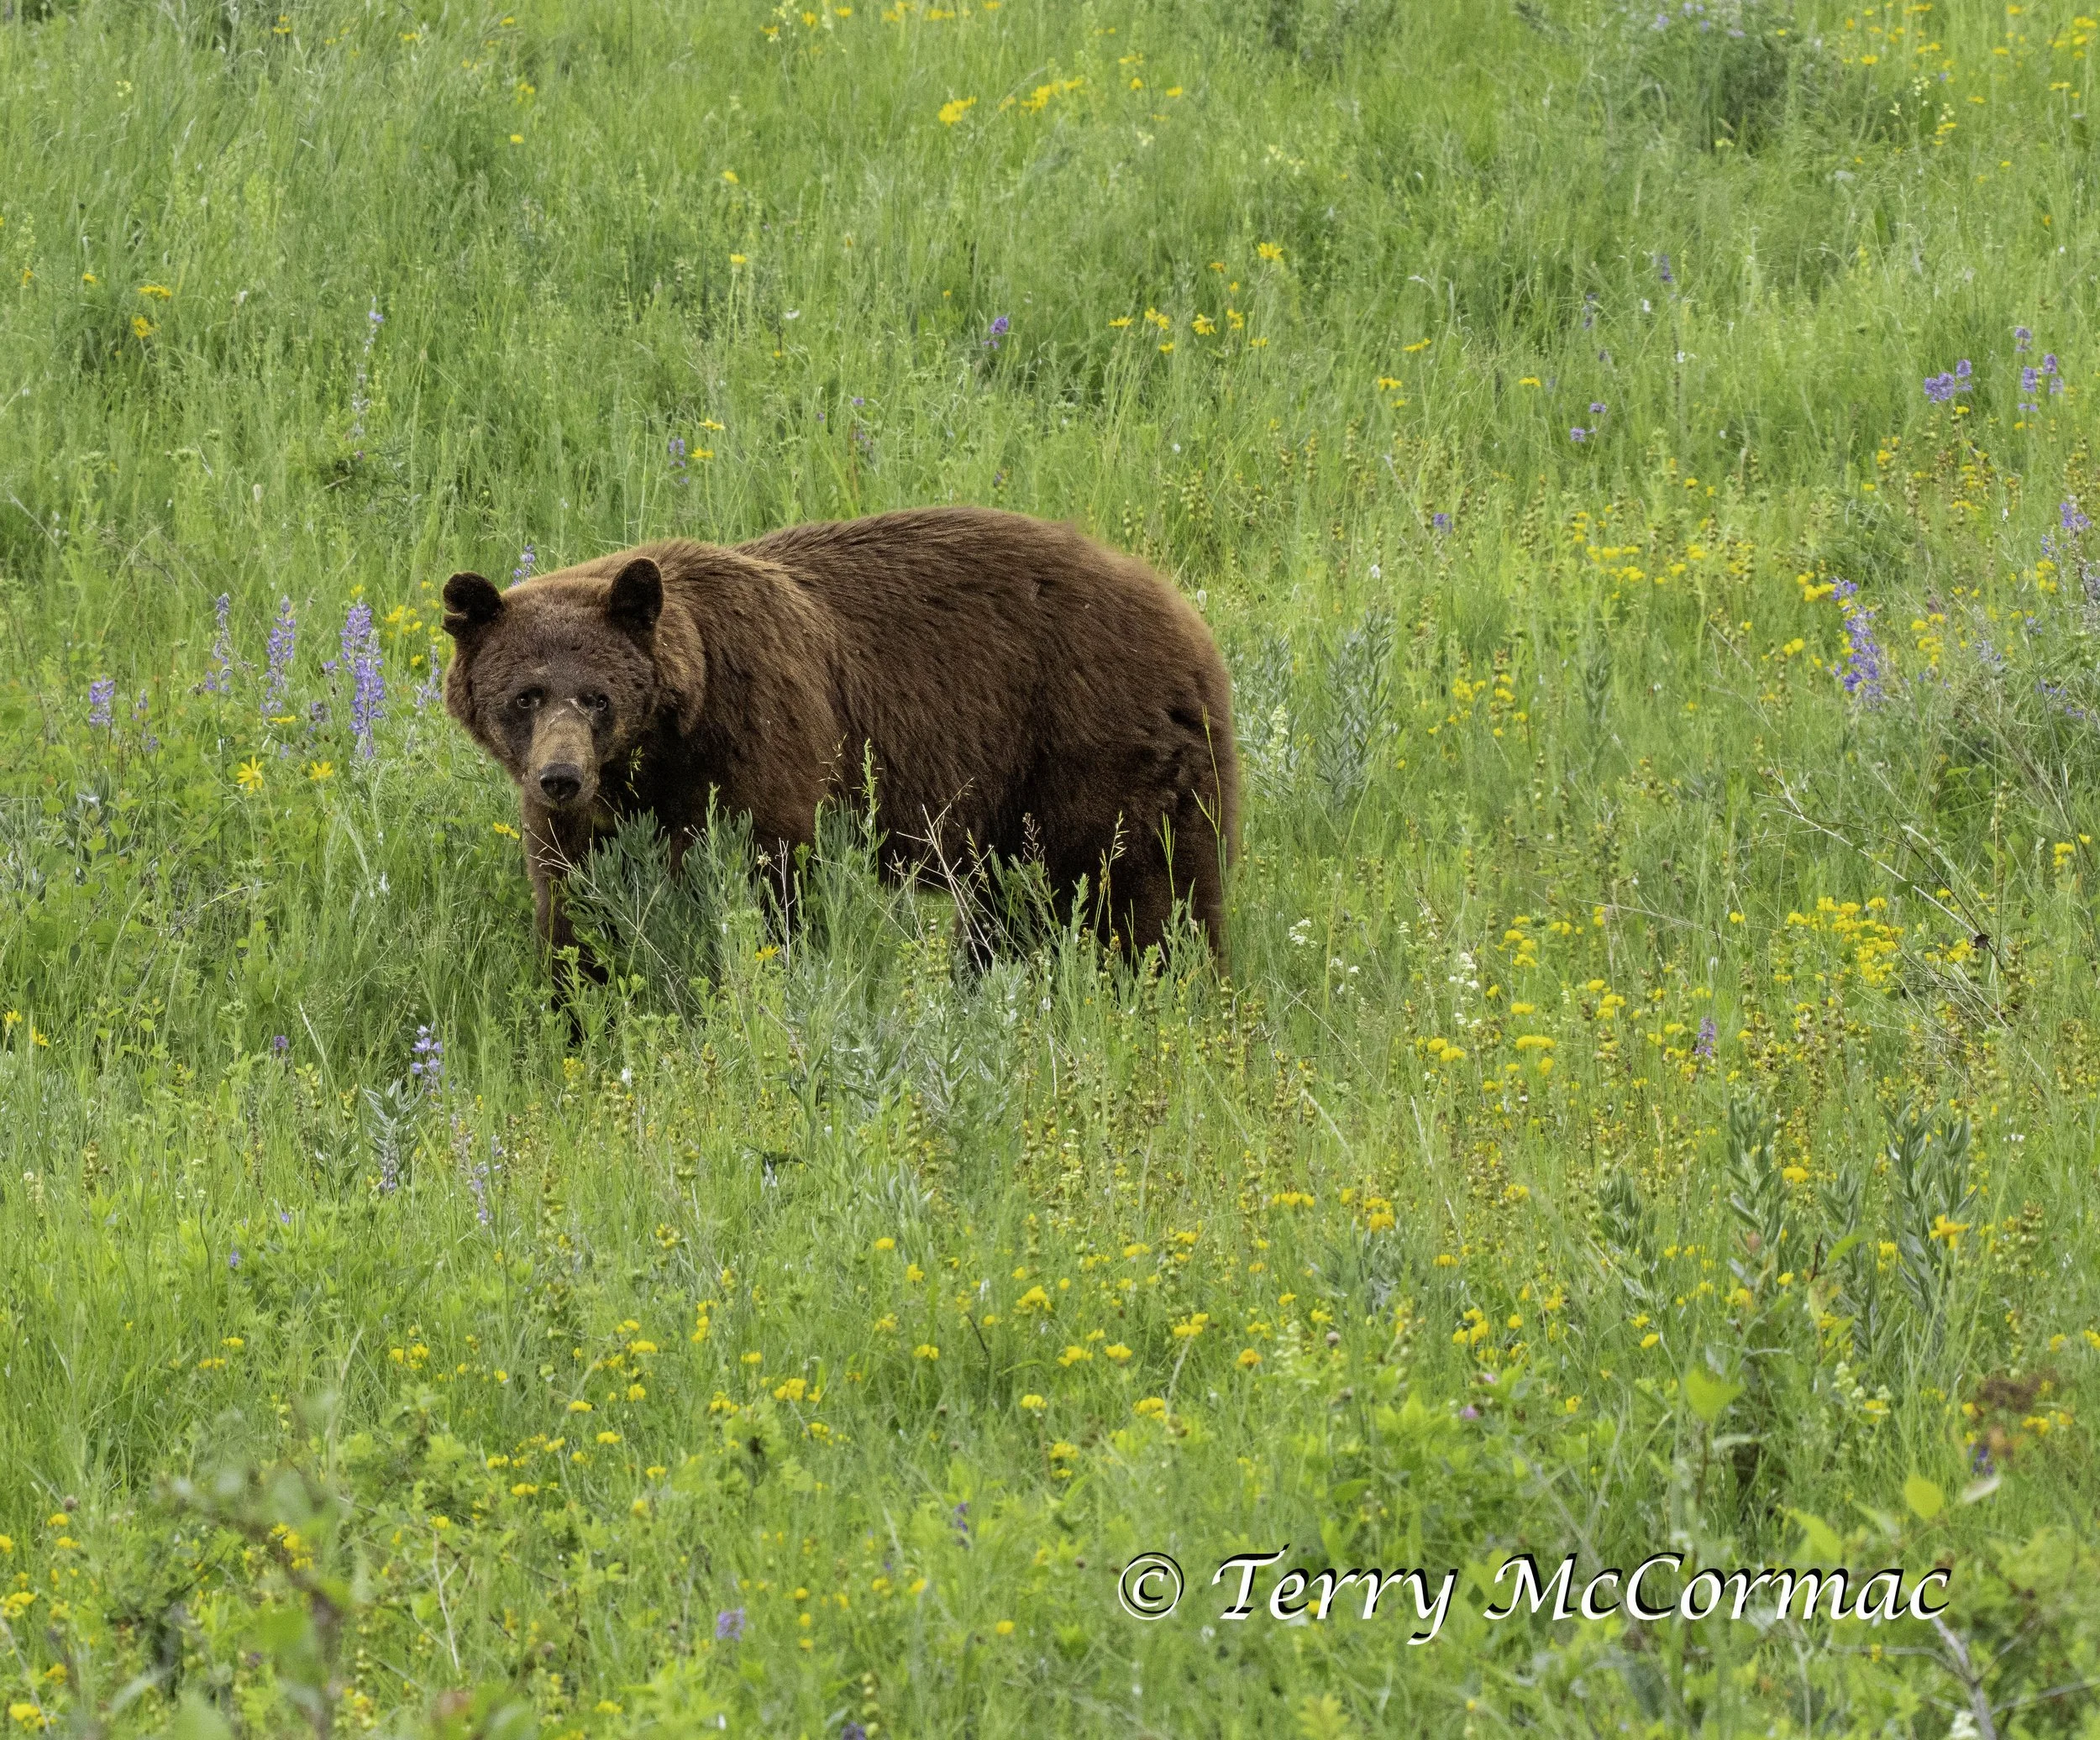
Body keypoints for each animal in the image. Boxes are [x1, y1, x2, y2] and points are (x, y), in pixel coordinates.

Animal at [440, 507, 1239, 983]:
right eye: (525, 696)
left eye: (598, 697)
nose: (560, 775)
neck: (662, 748)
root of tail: (1186, 617)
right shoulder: (588, 818)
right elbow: (570, 903)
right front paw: (580, 1003)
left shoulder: (759, 737)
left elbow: (772, 874)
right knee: (1009, 909)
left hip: (1091, 744)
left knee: (1146, 885)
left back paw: (1172, 985)